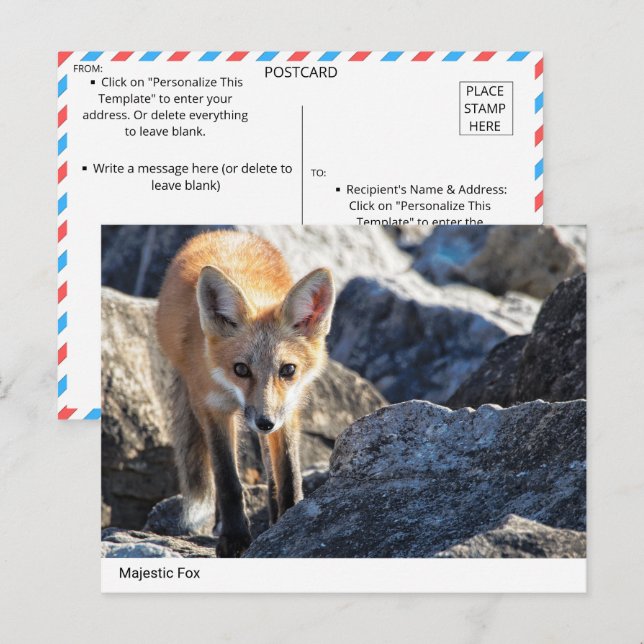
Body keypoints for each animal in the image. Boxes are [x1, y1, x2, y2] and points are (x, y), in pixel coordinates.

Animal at [156, 230, 335, 557]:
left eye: (288, 370)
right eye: (240, 369)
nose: (265, 422)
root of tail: (227, 233)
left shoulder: (288, 410)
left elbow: (288, 473)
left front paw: (289, 522)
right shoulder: (212, 406)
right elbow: (227, 479)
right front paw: (235, 538)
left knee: (271, 471)